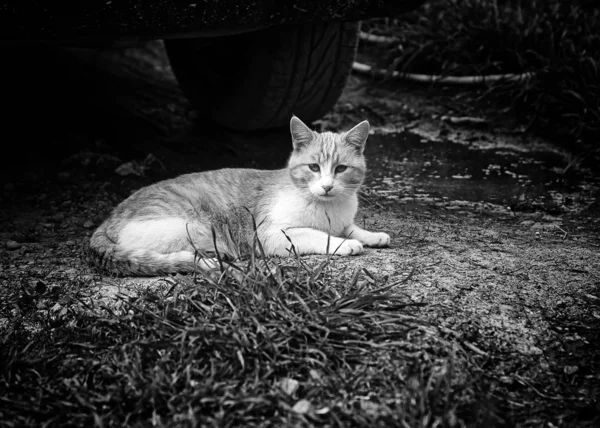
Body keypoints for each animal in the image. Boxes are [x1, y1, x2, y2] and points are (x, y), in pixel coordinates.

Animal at [88, 115, 390, 276]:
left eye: (340, 169)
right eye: (314, 167)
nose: (327, 186)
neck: (328, 208)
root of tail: (107, 220)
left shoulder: (342, 220)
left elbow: (351, 227)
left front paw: (372, 236)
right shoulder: (270, 234)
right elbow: (318, 235)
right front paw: (344, 244)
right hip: (196, 227)